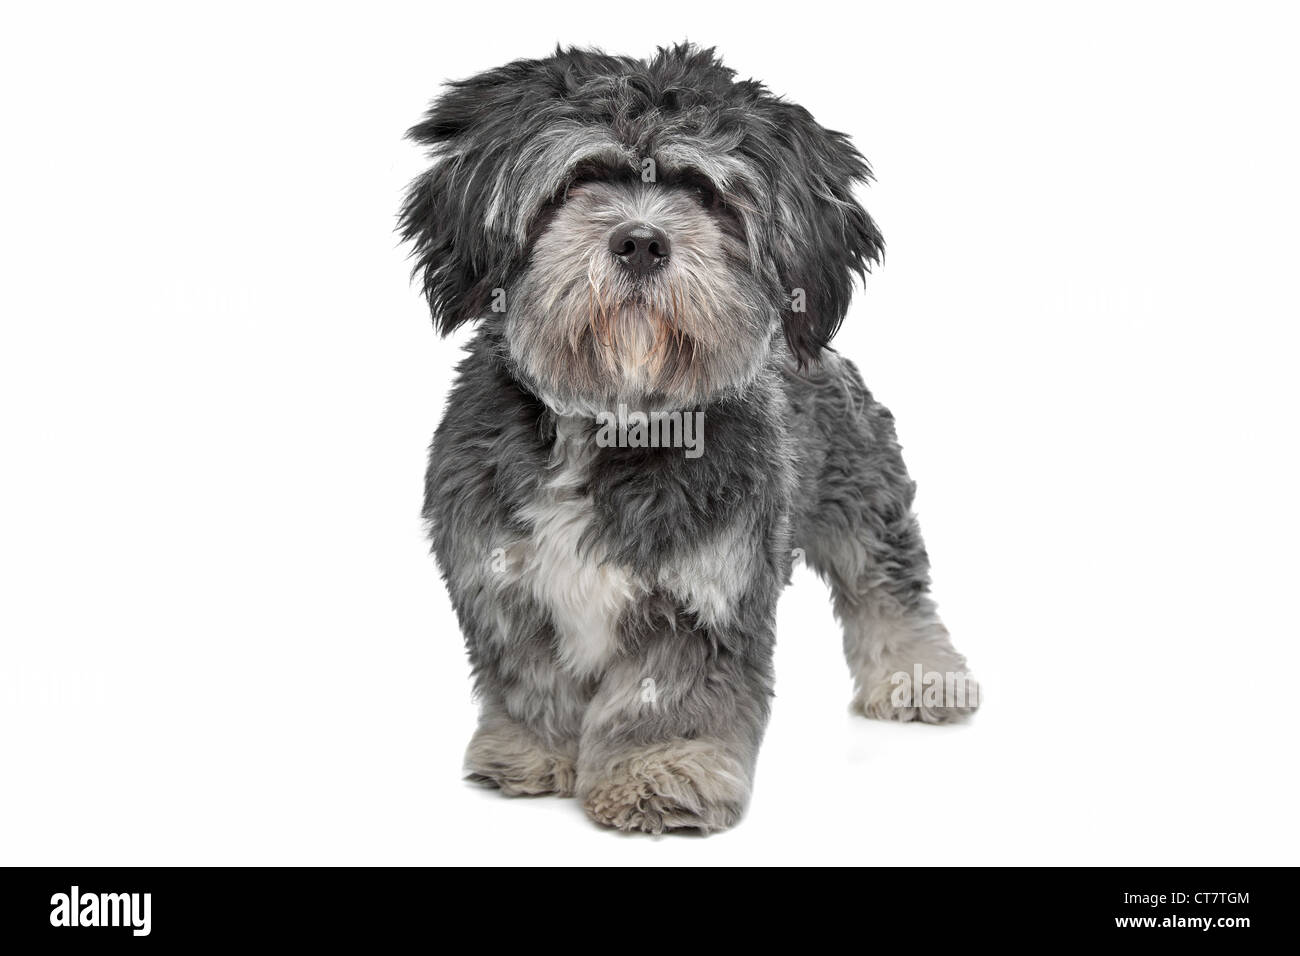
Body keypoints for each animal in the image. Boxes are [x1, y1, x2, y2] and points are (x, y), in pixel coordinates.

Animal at [400, 44, 977, 832]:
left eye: (705, 193)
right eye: (580, 178)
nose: (641, 242)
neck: (612, 419)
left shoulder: (704, 591)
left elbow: (669, 696)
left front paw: (660, 772)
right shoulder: (503, 579)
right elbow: (530, 678)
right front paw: (530, 752)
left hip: (863, 496)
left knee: (889, 586)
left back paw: (920, 676)